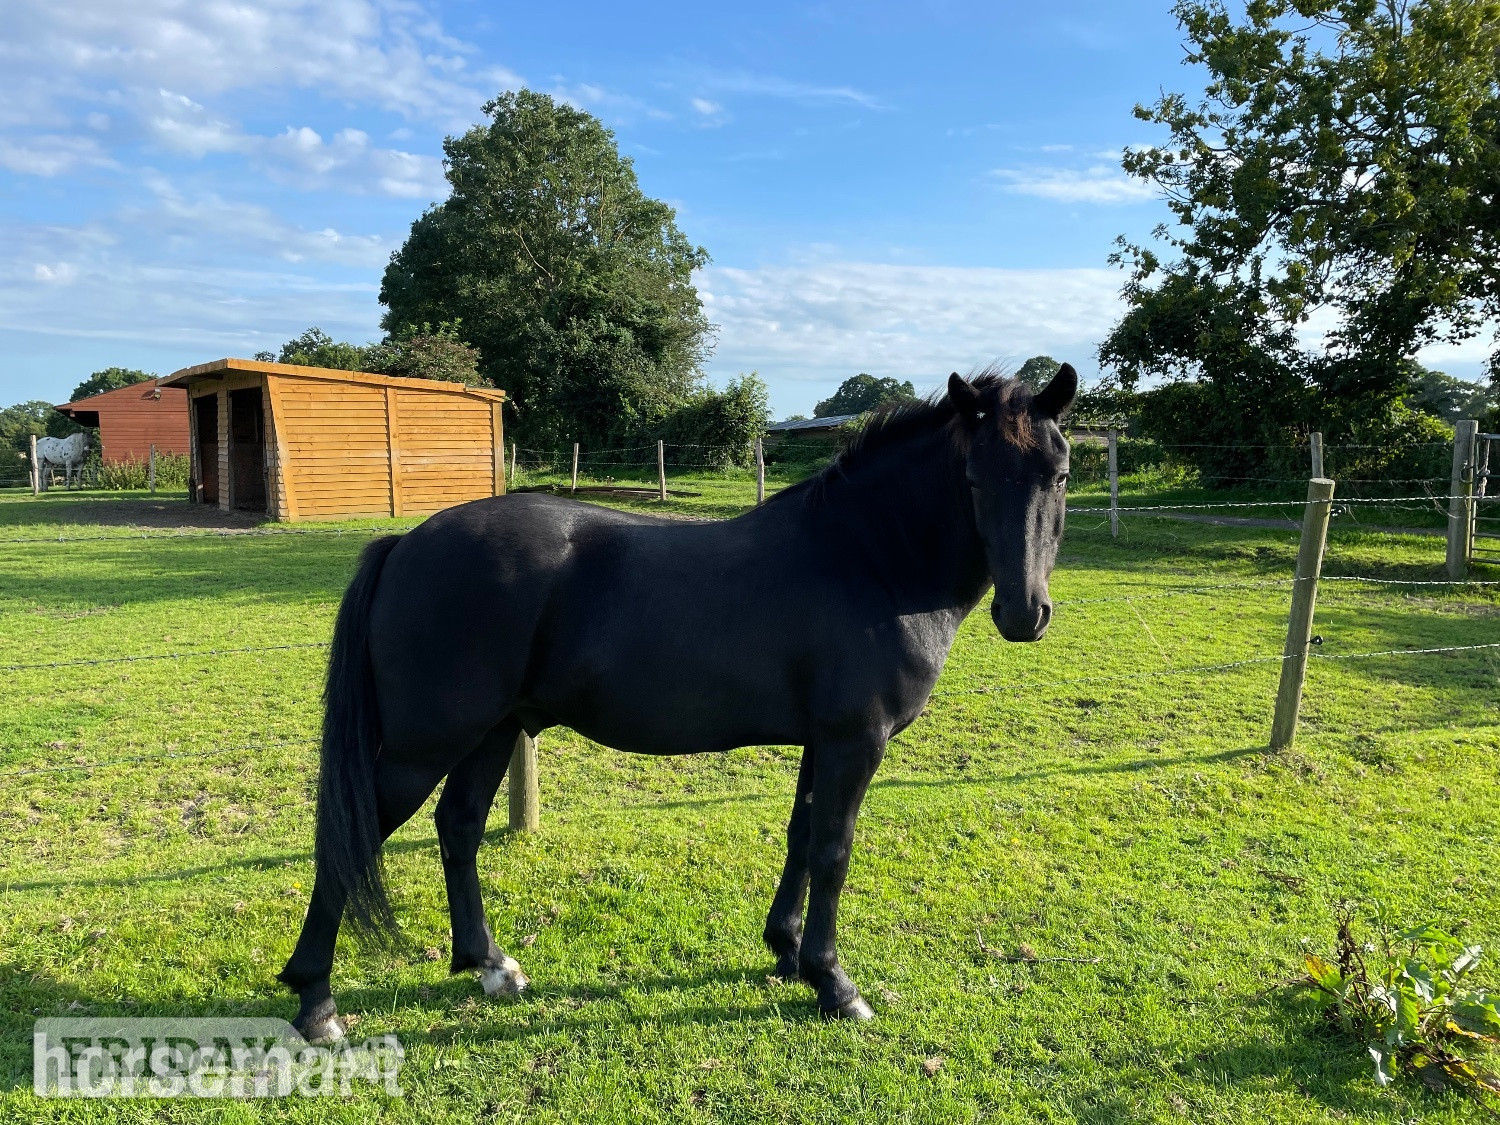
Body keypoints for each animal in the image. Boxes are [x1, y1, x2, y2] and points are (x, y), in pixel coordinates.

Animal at [279, 366, 1077, 1042]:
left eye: (1060, 473)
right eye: (973, 477)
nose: (1024, 614)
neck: (868, 558)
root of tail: (405, 543)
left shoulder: (821, 741)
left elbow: (800, 837)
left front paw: (785, 951)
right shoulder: (856, 740)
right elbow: (833, 848)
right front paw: (833, 982)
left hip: (492, 731)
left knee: (459, 828)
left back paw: (490, 964)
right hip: (426, 745)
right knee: (352, 839)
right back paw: (316, 1001)